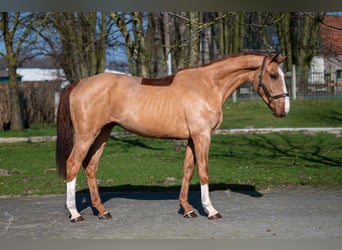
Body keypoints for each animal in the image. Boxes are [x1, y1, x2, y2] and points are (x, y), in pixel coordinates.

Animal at [55, 51, 288, 222]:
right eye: (273, 75)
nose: (284, 110)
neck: (208, 84)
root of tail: (78, 83)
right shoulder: (202, 136)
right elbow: (203, 172)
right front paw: (210, 210)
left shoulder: (192, 139)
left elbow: (187, 171)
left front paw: (187, 209)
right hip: (86, 135)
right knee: (73, 164)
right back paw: (75, 213)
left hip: (103, 133)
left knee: (90, 167)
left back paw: (102, 211)